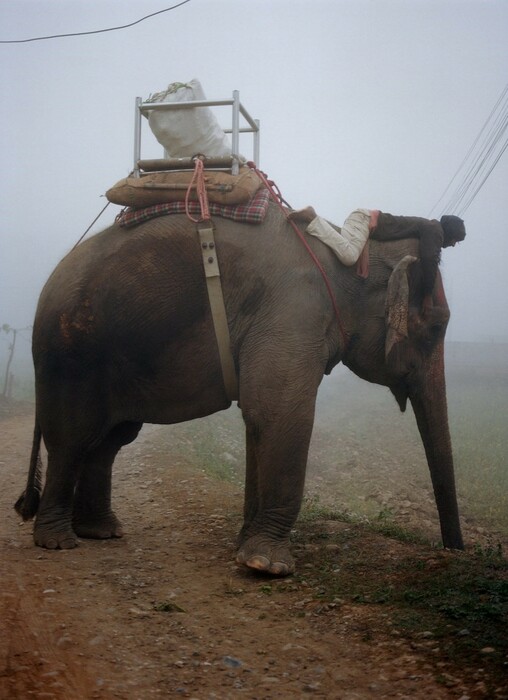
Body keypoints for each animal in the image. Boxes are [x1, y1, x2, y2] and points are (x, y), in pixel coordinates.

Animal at [13, 201, 464, 576]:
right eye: (436, 327)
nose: (454, 551)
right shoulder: (293, 313)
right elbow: (279, 412)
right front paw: (268, 566)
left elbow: (260, 416)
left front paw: (247, 548)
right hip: (69, 354)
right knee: (72, 438)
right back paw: (58, 542)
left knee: (110, 441)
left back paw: (102, 532)